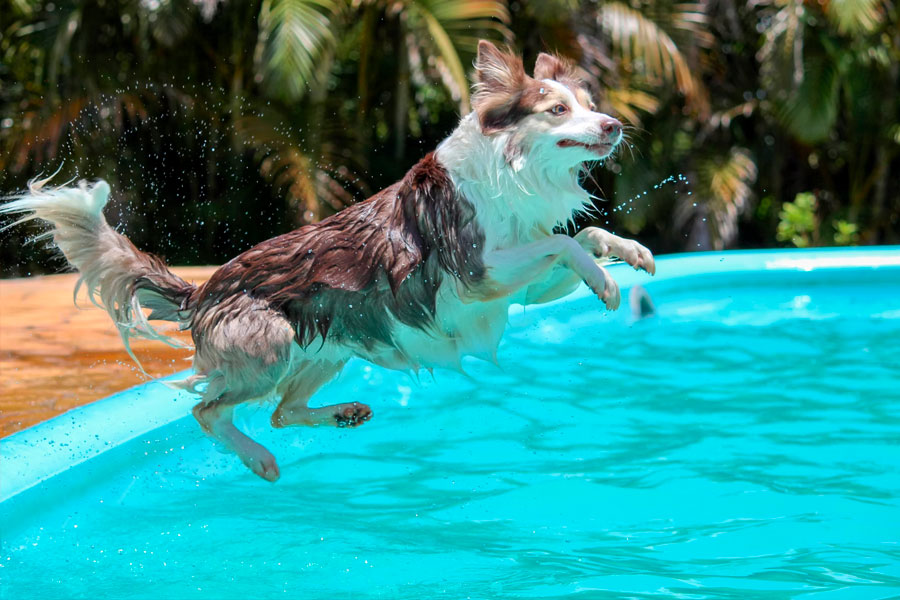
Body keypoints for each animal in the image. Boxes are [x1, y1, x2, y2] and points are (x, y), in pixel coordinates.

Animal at [5, 41, 652, 482]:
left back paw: (342, 415)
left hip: (329, 347)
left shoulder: (516, 287)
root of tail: (203, 290)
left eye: (590, 104)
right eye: (557, 109)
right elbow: (563, 242)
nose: (615, 125)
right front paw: (607, 283)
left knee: (282, 412)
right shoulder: (477, 274)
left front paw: (629, 255)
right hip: (267, 347)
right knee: (209, 410)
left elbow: (585, 234)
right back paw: (260, 460)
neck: (513, 171)